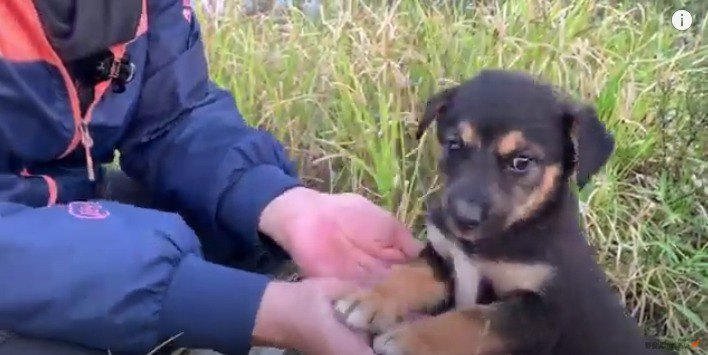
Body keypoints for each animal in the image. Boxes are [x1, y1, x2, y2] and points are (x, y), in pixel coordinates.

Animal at [334, 70, 656, 355]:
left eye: (522, 162)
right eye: (454, 144)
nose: (462, 218)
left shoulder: (542, 314)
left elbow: (471, 320)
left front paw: (410, 340)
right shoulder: (444, 257)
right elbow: (411, 272)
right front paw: (370, 299)